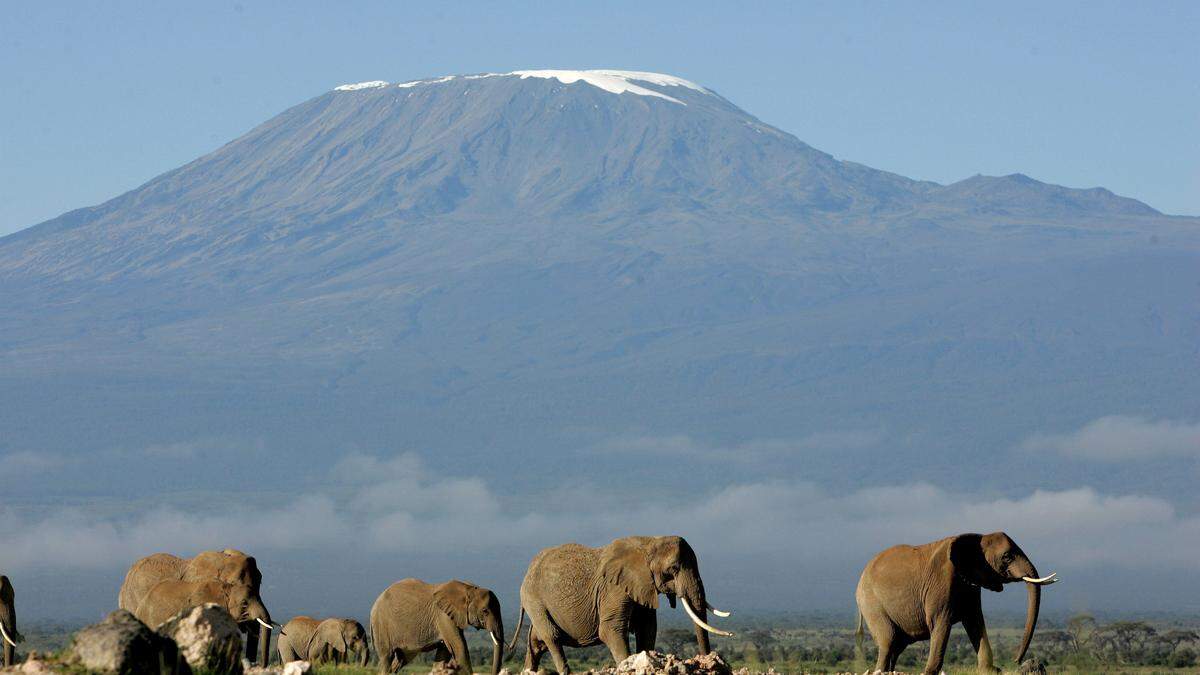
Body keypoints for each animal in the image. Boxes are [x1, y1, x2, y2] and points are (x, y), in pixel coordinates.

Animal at [374, 578, 506, 672]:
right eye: (485, 611)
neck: (468, 589)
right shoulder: (444, 617)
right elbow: (460, 650)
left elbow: (444, 653)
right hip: (381, 625)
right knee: (386, 658)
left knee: (400, 660)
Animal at [506, 533, 729, 667]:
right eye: (673, 569)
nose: (706, 660)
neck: (649, 542)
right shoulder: (614, 589)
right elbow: (610, 630)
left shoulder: (643, 587)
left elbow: (647, 629)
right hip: (534, 599)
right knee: (551, 637)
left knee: (536, 642)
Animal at [854, 528, 1060, 667]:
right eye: (1007, 557)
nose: (1015, 660)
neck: (977, 538)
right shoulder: (940, 583)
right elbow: (941, 625)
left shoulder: (971, 586)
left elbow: (975, 623)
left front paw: (990, 669)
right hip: (872, 604)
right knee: (888, 642)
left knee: (896, 648)